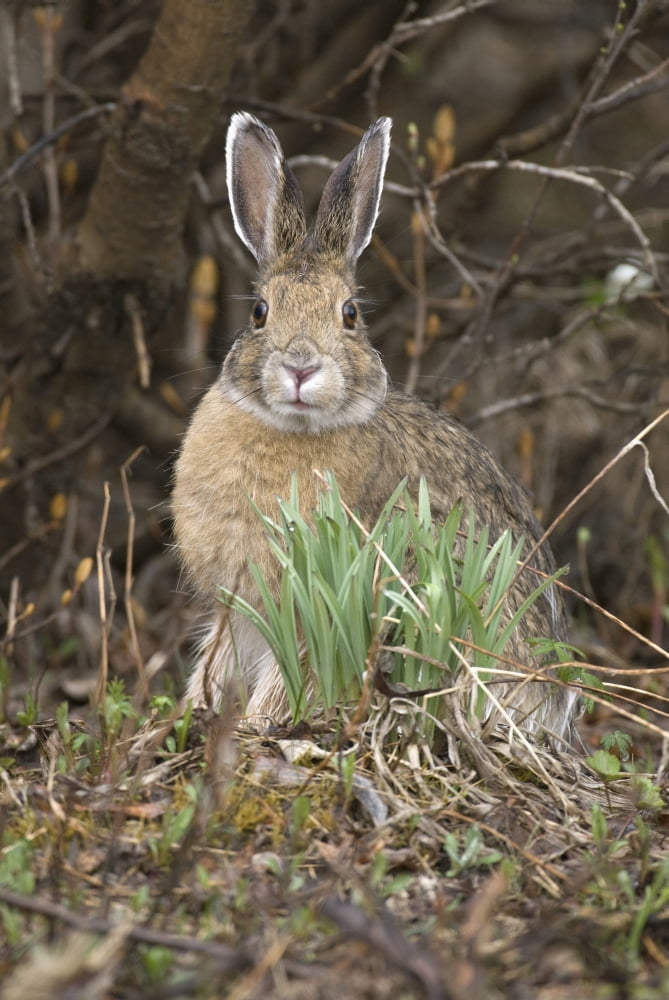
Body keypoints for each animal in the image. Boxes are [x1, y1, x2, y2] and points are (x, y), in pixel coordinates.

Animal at [172, 112, 579, 744]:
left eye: (350, 314)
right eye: (259, 312)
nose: (300, 367)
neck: (291, 429)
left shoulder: (317, 608)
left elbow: (291, 679)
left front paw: (257, 725)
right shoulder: (236, 608)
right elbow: (217, 662)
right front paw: (193, 714)